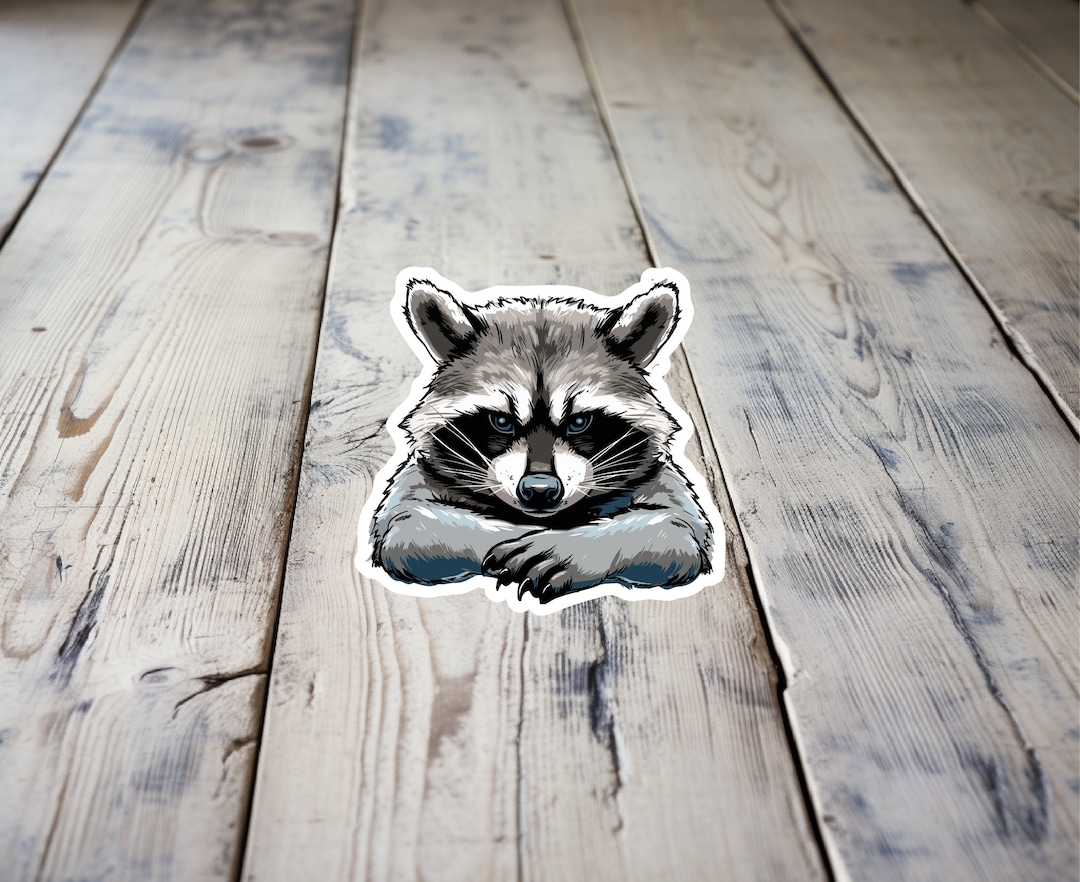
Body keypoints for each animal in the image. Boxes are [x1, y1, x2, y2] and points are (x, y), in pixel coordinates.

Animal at [364, 268, 719, 607]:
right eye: (501, 421)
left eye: (579, 422)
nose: (539, 491)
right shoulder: (420, 476)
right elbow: (407, 523)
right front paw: (503, 532)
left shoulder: (660, 478)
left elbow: (677, 528)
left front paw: (574, 544)